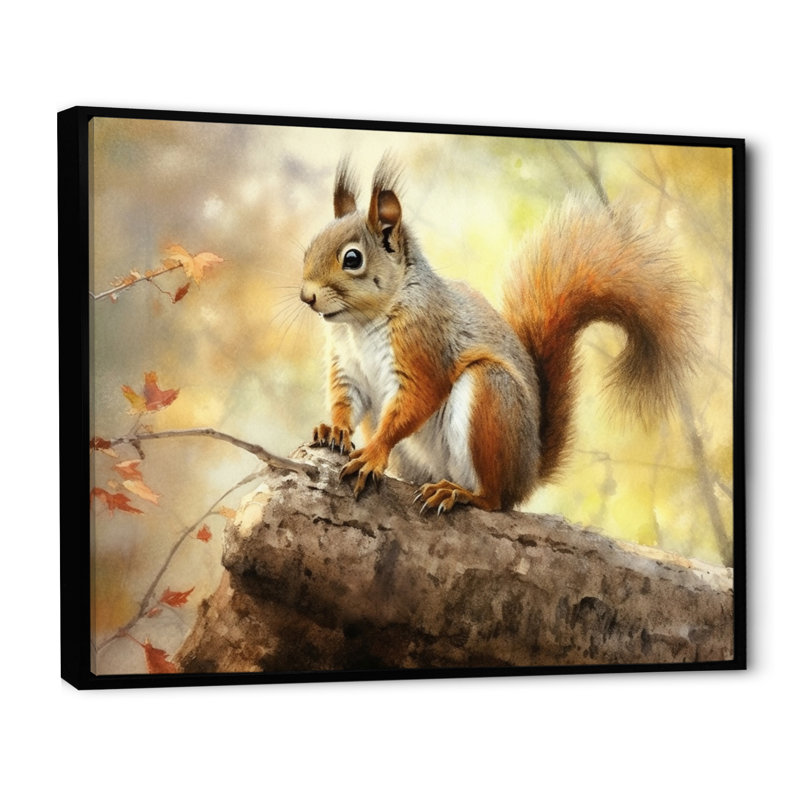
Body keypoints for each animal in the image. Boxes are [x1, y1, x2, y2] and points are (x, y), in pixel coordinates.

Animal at [300, 156, 694, 514]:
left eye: (352, 259)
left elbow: (415, 401)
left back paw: (459, 493)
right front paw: (334, 430)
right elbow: (346, 399)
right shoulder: (346, 363)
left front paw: (373, 453)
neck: (361, 324)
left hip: (492, 400)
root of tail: (527, 474)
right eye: (308, 248)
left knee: (493, 499)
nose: (307, 297)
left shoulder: (424, 346)